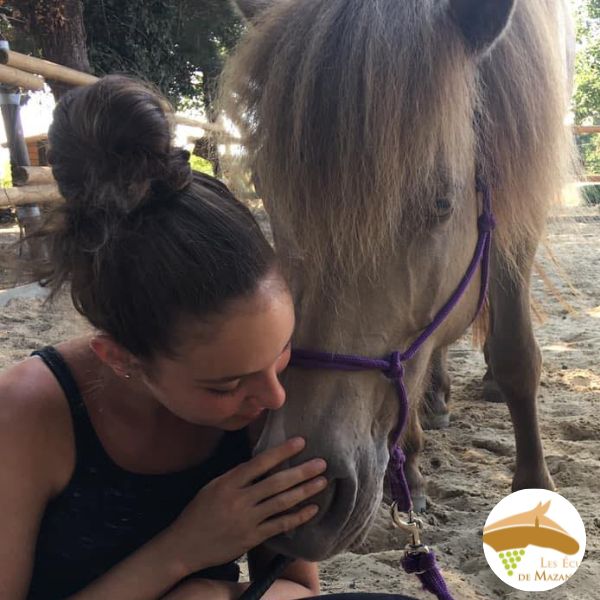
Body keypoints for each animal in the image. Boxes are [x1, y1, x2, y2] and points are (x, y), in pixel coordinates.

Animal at [220, 1, 576, 564]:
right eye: (266, 191)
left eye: (441, 203)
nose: (305, 491)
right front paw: (410, 470)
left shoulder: (520, 215)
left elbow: (516, 353)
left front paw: (533, 483)